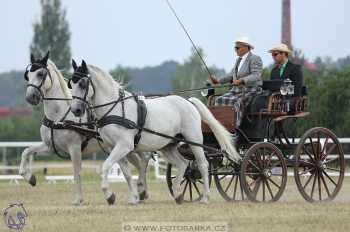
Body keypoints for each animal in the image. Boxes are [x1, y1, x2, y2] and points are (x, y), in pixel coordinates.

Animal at [19, 52, 150, 205]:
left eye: (40, 74)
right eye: (28, 75)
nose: (30, 97)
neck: (59, 115)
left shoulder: (74, 147)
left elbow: (77, 173)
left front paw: (78, 199)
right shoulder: (50, 146)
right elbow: (26, 151)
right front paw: (30, 178)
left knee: (143, 162)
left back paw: (142, 190)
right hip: (128, 148)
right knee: (141, 163)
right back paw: (142, 192)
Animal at [68, 60, 241, 205]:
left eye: (82, 83)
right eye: (71, 84)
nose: (75, 110)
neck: (115, 108)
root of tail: (188, 101)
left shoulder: (124, 145)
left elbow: (104, 167)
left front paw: (110, 196)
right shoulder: (113, 147)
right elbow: (126, 173)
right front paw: (133, 197)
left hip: (194, 140)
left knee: (203, 165)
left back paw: (205, 197)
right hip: (168, 145)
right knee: (182, 164)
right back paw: (178, 194)